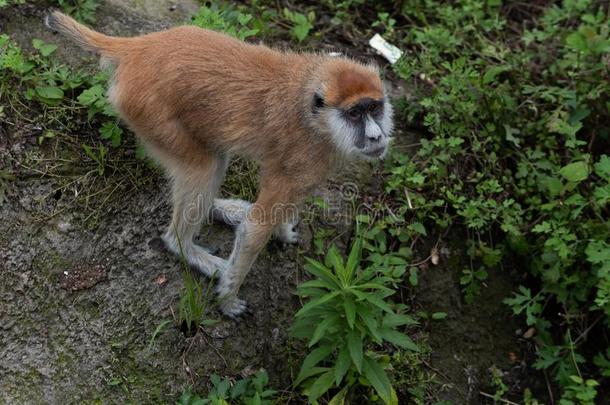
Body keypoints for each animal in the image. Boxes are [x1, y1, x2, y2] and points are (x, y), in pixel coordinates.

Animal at [45, 11, 392, 316]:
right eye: (354, 114)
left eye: (374, 108)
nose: (376, 136)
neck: (313, 114)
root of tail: (140, 46)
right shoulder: (303, 156)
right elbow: (255, 229)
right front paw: (228, 298)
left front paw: (282, 231)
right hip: (149, 112)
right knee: (204, 167)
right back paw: (184, 246)